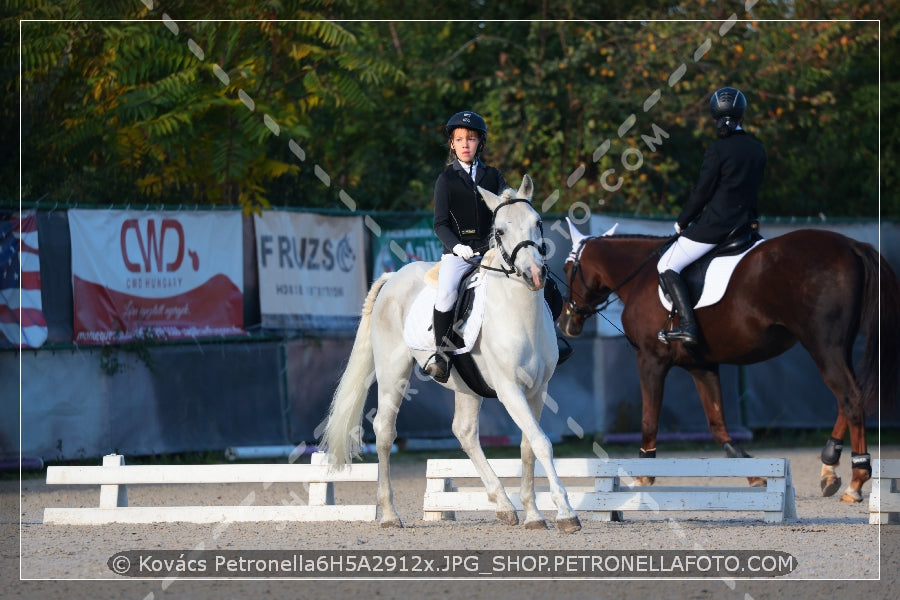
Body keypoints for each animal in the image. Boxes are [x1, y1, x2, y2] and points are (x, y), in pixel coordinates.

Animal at [320, 176, 580, 532]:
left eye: (538, 223)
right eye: (499, 231)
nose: (535, 274)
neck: (518, 312)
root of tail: (393, 277)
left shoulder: (538, 389)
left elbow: (529, 446)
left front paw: (533, 514)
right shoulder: (510, 389)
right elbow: (541, 442)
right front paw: (566, 513)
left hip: (467, 386)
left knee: (465, 432)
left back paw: (503, 505)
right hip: (393, 371)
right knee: (385, 431)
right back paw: (389, 514)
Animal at [560, 225, 896, 502]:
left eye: (568, 268)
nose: (567, 323)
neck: (640, 276)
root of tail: (851, 244)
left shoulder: (650, 359)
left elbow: (649, 418)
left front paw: (644, 474)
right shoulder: (702, 366)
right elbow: (717, 424)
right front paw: (755, 475)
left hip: (823, 346)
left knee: (850, 398)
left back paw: (855, 481)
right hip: (838, 347)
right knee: (850, 398)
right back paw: (829, 466)